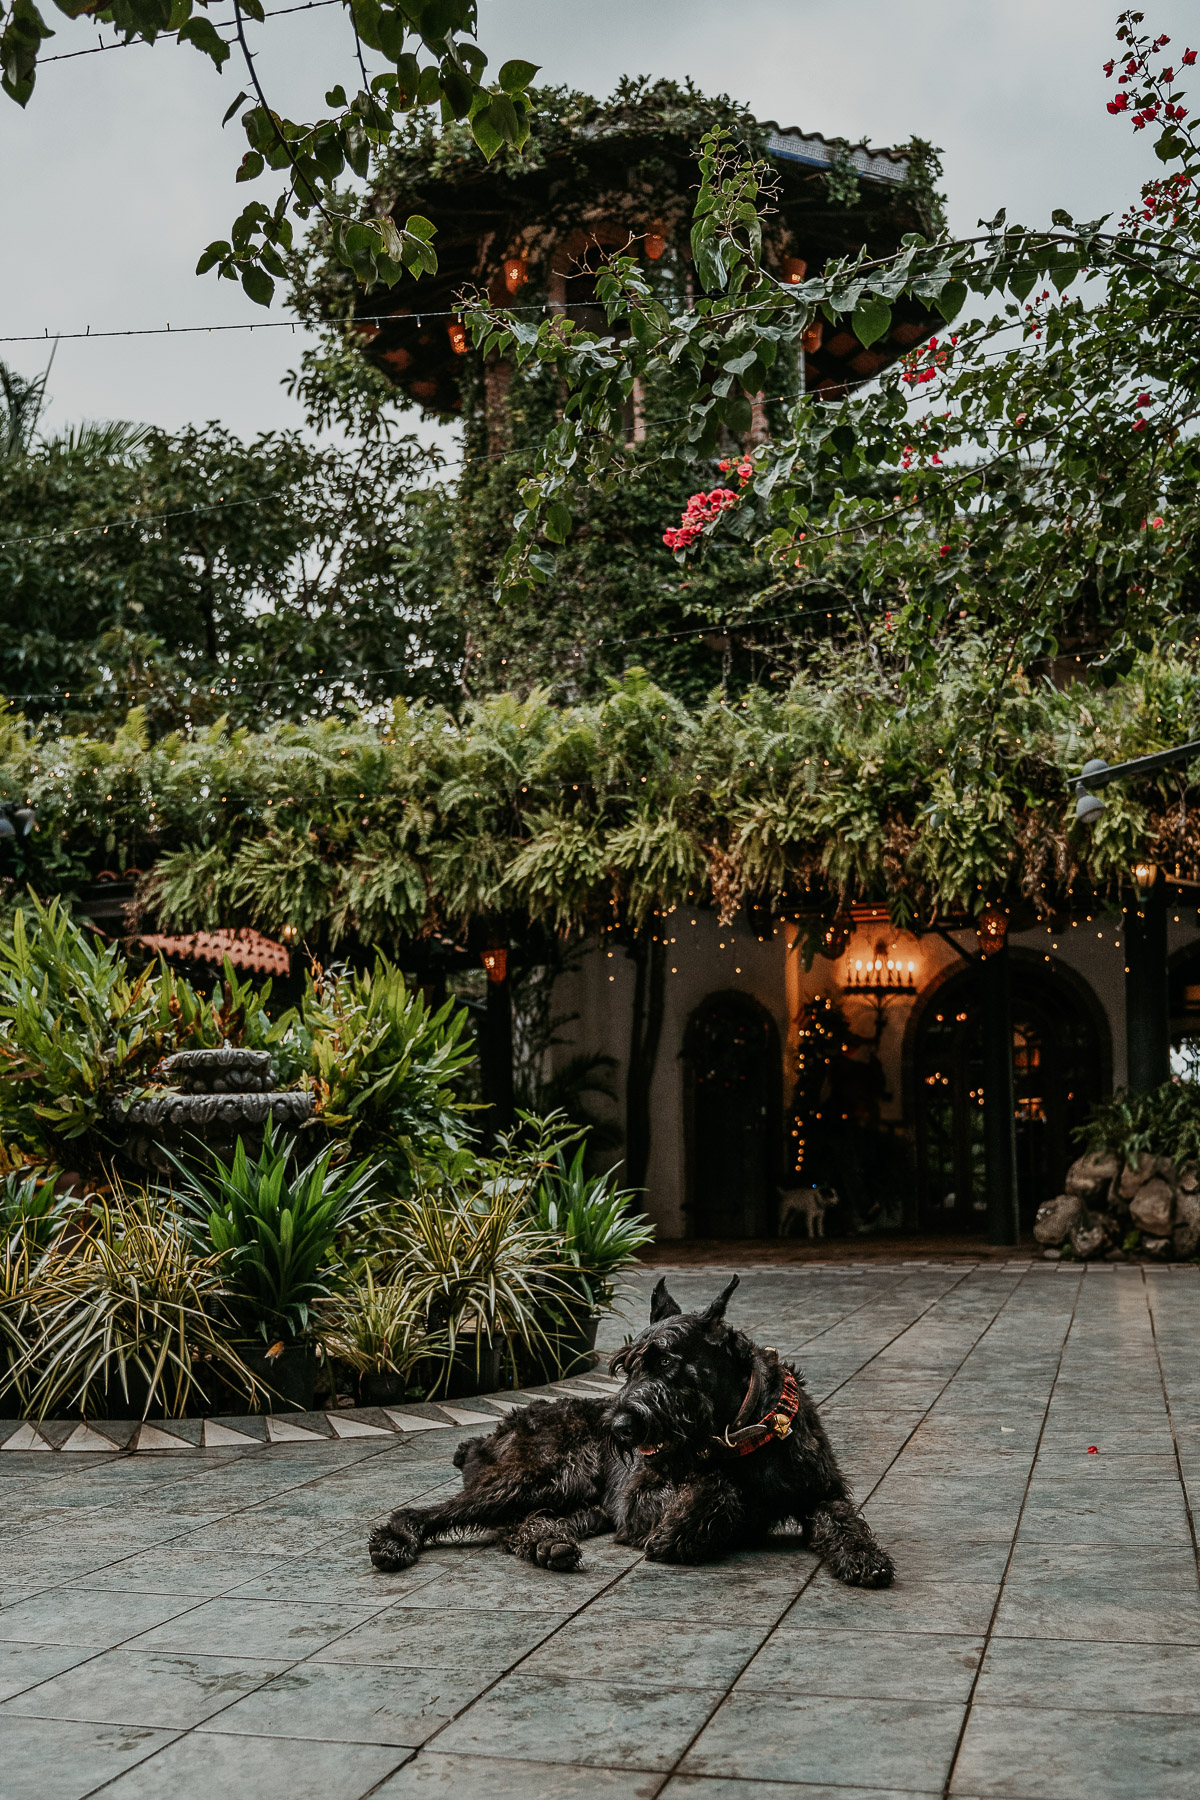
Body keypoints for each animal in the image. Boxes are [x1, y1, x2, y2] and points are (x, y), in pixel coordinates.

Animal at [370, 1274, 895, 1584]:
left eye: (665, 1362)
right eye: (624, 1366)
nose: (619, 1427)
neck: (742, 1433)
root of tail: (487, 1434)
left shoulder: (820, 1492)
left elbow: (843, 1518)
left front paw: (863, 1557)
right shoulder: (638, 1499)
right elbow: (718, 1488)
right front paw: (679, 1535)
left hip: (578, 1504)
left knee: (515, 1527)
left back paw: (547, 1545)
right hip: (539, 1477)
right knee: (424, 1512)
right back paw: (394, 1543)